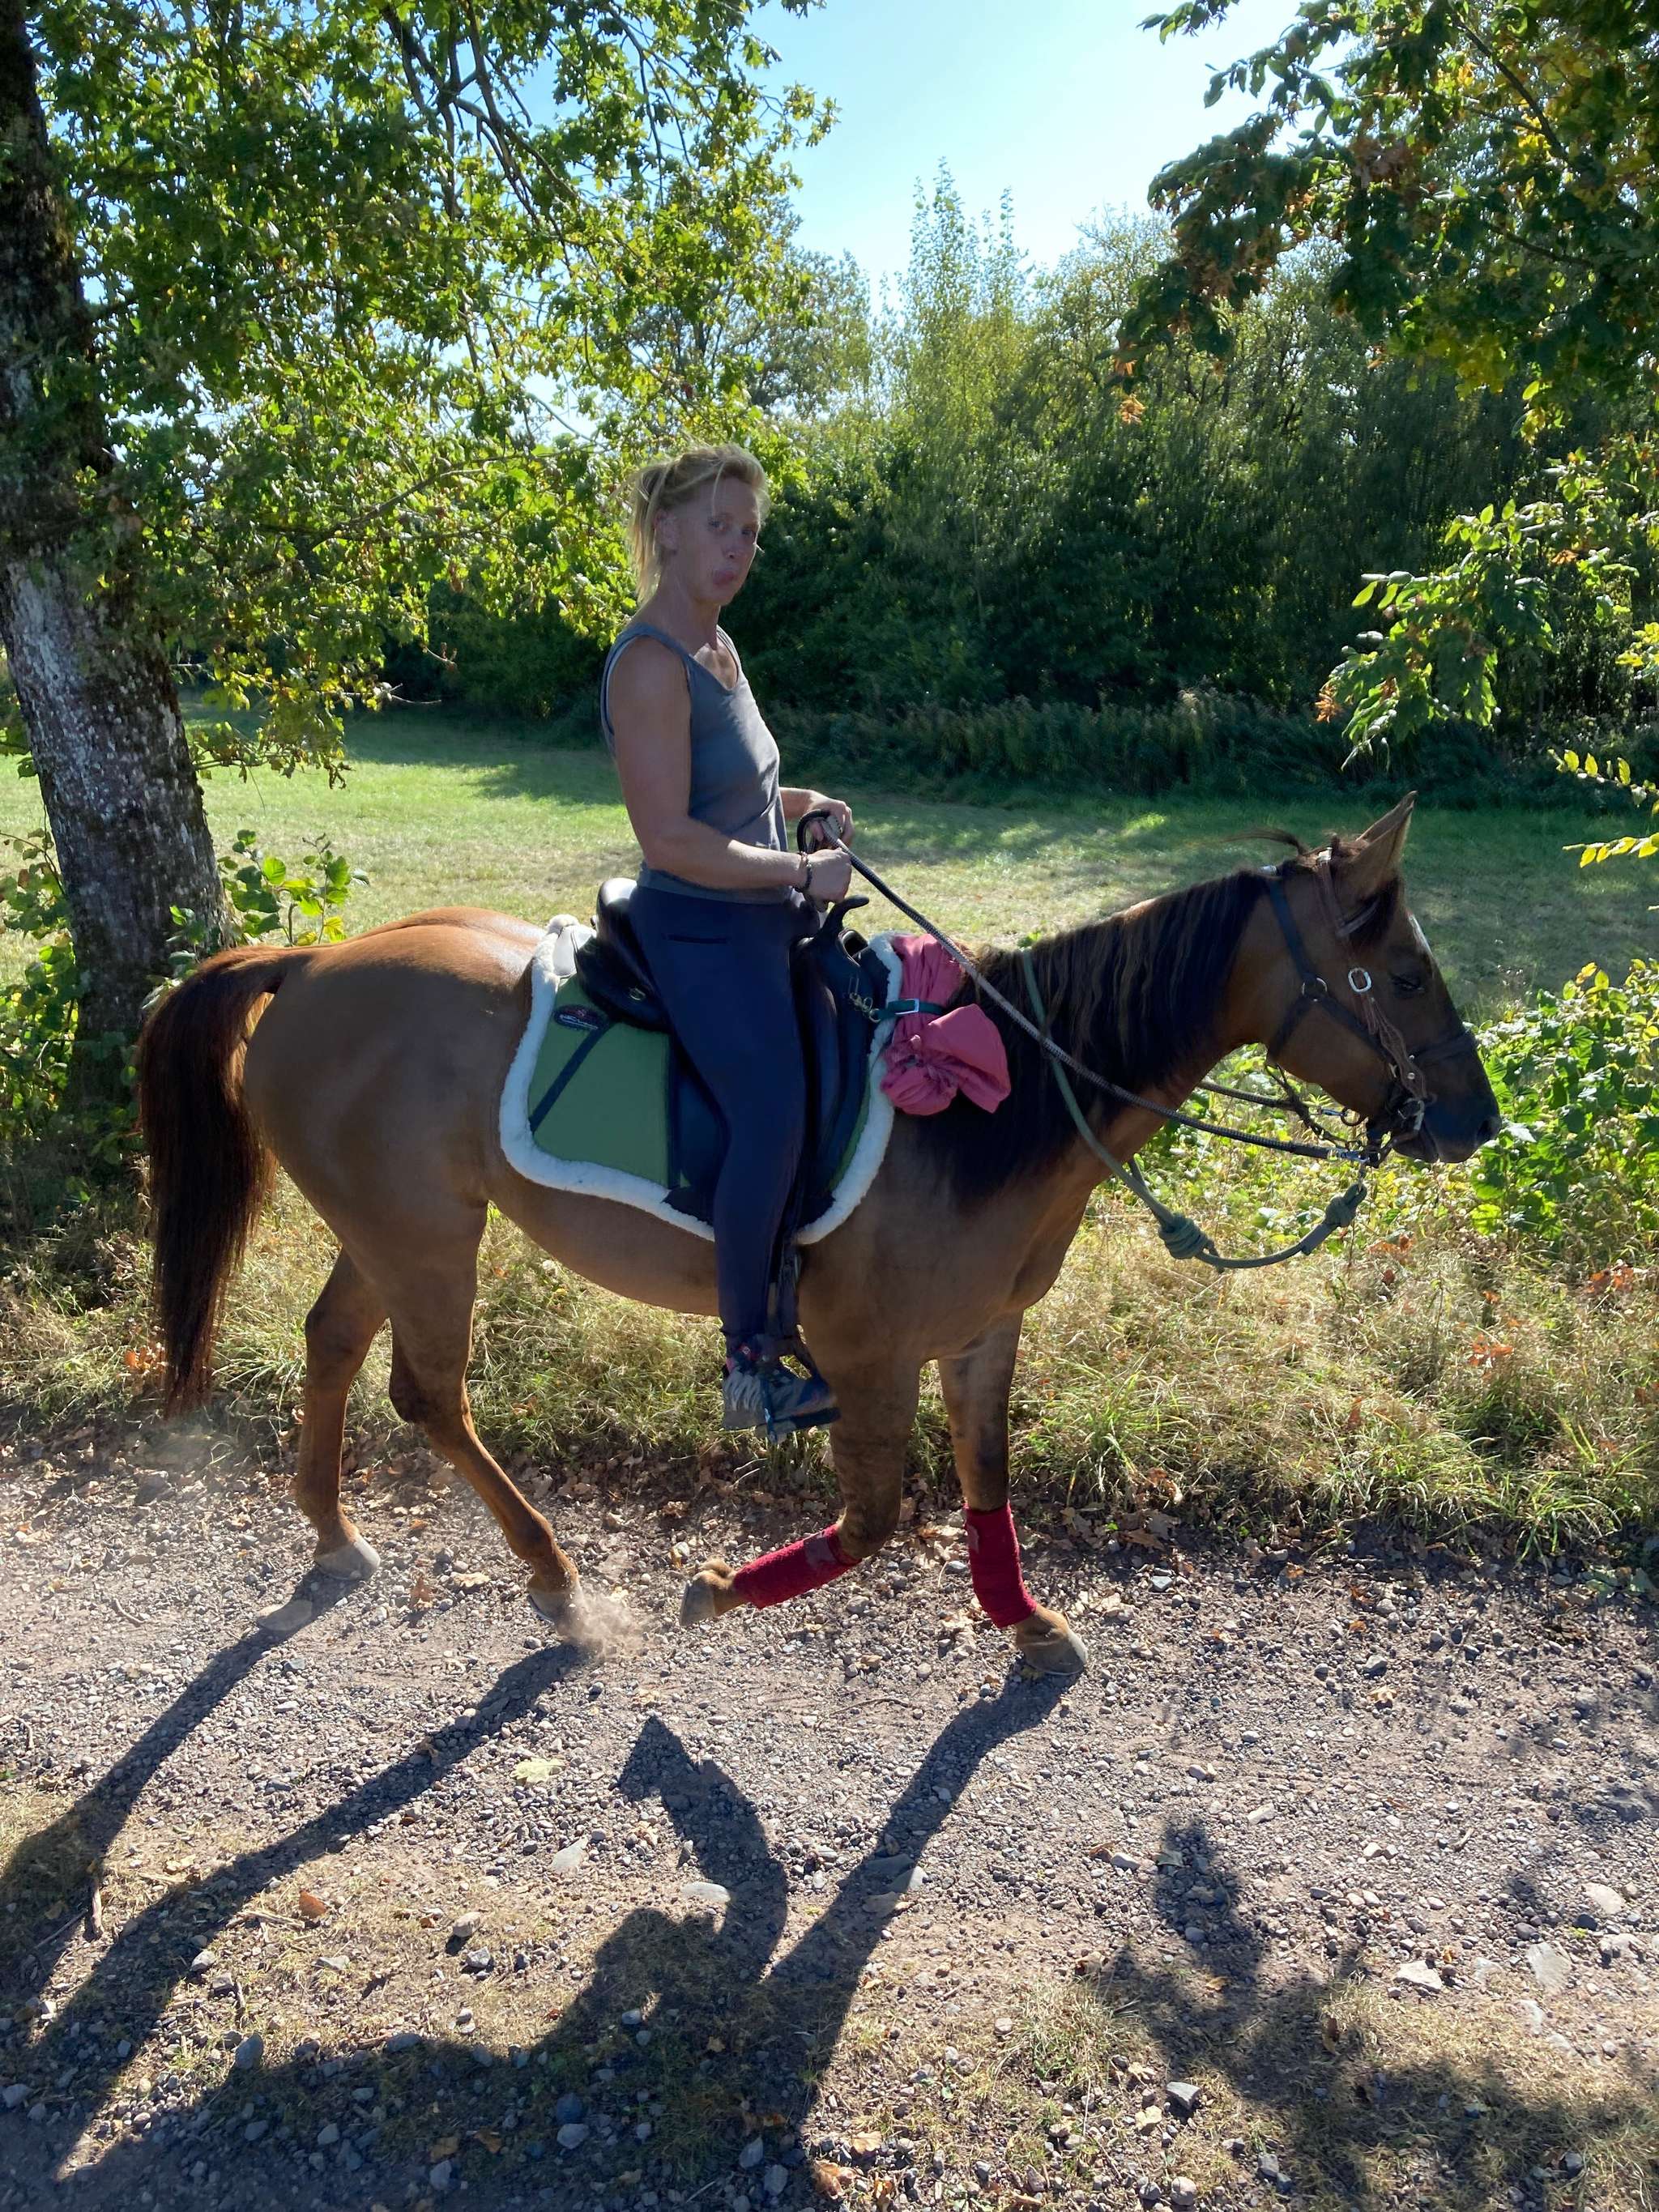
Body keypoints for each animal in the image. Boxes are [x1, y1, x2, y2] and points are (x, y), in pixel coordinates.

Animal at [134, 793, 1498, 1673]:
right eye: (1407, 973)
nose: (1478, 1120)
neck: (999, 1100)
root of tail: (311, 961)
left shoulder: (982, 1334)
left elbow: (988, 1479)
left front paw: (1024, 1621)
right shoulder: (867, 1356)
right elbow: (879, 1517)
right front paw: (719, 1586)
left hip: (391, 1223)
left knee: (332, 1343)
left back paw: (333, 1533)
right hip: (426, 1238)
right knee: (428, 1392)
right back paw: (558, 1578)